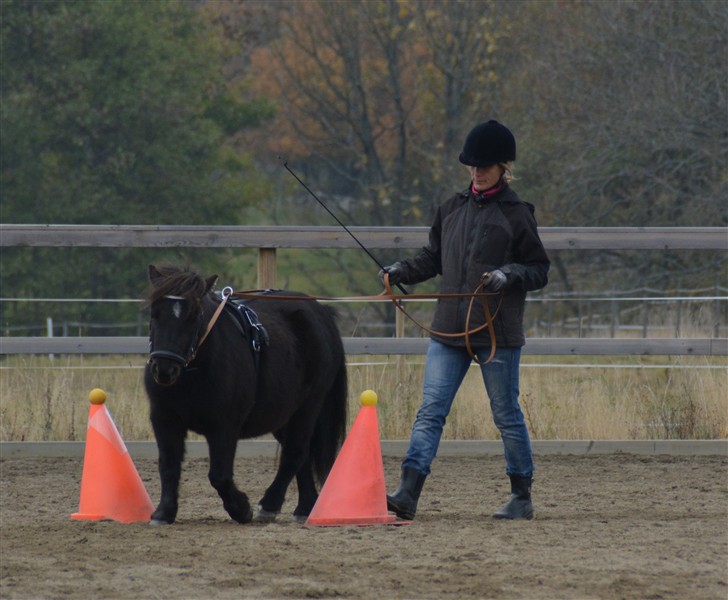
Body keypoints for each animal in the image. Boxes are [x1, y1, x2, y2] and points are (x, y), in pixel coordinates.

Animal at [144, 264, 348, 524]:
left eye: (194, 317)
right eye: (154, 314)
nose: (164, 369)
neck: (193, 373)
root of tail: (319, 312)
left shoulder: (224, 426)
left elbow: (219, 475)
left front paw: (241, 508)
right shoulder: (164, 419)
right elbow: (169, 465)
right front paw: (164, 512)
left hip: (308, 407)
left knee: (296, 451)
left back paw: (269, 505)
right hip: (283, 415)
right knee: (301, 456)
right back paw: (305, 507)